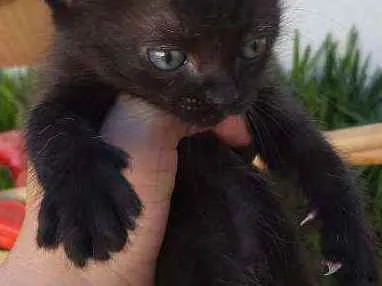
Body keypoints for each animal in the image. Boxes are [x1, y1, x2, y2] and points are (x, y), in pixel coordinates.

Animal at [27, 0, 380, 284]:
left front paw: (350, 239)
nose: (226, 97)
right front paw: (86, 201)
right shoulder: (72, 75)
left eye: (254, 45)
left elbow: (312, 147)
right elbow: (45, 121)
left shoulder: (259, 99)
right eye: (167, 57)